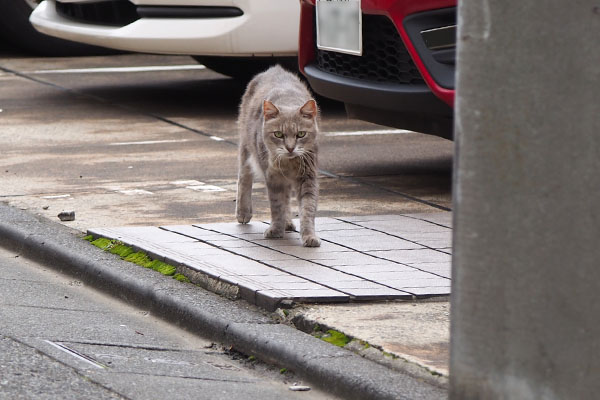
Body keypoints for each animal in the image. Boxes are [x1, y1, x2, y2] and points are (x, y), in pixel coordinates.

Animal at [236, 65, 322, 247]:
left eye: (301, 134)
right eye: (278, 134)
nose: (290, 148)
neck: (289, 163)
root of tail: (274, 69)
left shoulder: (308, 176)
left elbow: (308, 208)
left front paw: (309, 236)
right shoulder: (273, 177)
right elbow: (276, 205)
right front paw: (276, 229)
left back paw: (288, 222)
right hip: (246, 149)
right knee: (244, 178)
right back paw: (243, 212)